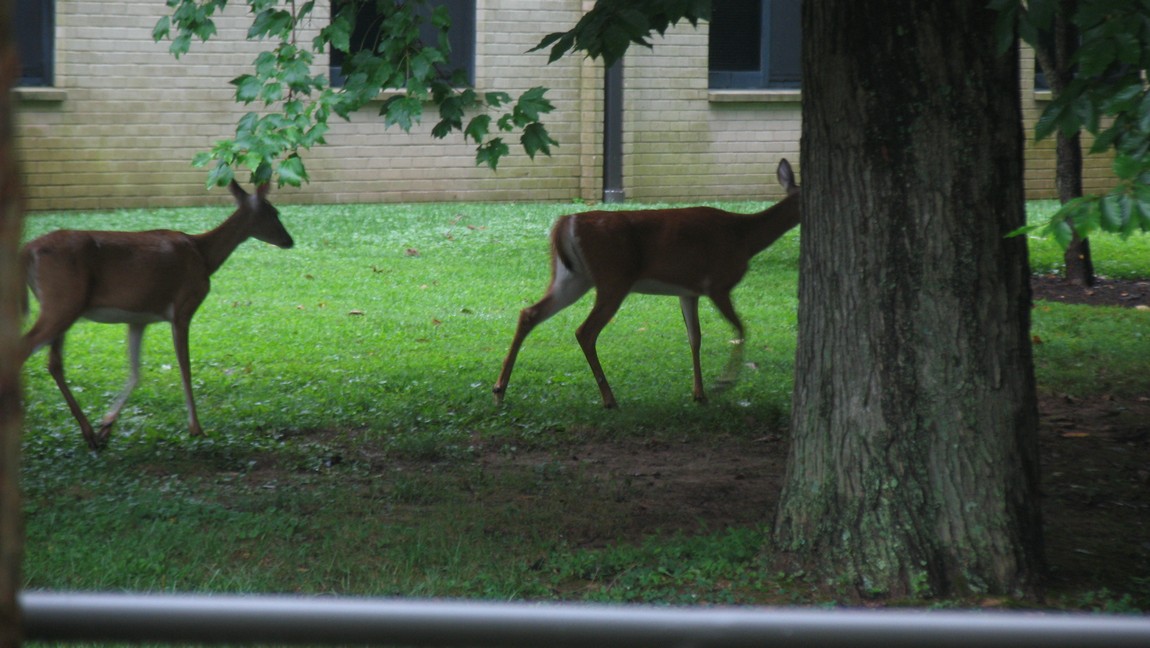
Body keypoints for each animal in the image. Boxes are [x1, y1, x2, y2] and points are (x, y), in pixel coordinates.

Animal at [19, 181, 294, 450]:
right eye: (274, 212)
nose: (289, 240)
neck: (203, 255)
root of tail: (28, 250)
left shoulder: (138, 318)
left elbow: (136, 372)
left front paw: (107, 425)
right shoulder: (183, 307)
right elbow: (185, 368)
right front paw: (196, 428)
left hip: (63, 306)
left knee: (54, 363)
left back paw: (89, 434)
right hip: (62, 302)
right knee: (26, 348)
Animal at [493, 159, 800, 409]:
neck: (745, 237)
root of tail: (565, 222)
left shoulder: (689, 292)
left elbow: (695, 338)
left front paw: (699, 394)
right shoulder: (718, 284)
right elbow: (741, 329)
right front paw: (722, 384)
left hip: (572, 278)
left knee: (529, 313)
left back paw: (499, 389)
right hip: (613, 278)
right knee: (585, 331)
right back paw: (609, 399)